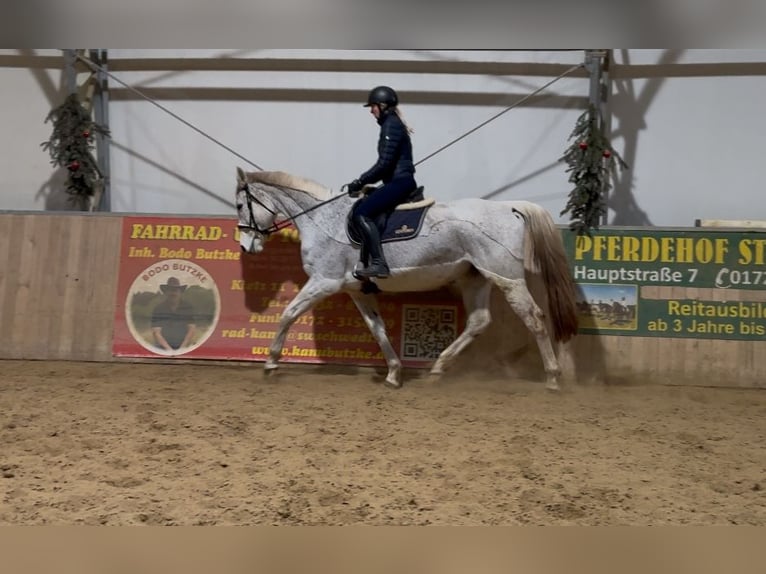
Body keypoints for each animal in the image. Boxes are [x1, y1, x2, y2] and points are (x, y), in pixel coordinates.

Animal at [235, 167, 578, 390]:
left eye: (240, 205)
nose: (246, 246)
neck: (321, 219)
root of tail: (510, 207)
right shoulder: (357, 290)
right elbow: (377, 329)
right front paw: (394, 373)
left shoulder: (324, 281)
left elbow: (288, 313)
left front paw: (271, 364)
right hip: (475, 278)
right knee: (479, 321)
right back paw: (437, 369)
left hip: (508, 278)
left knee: (534, 318)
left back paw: (552, 377)